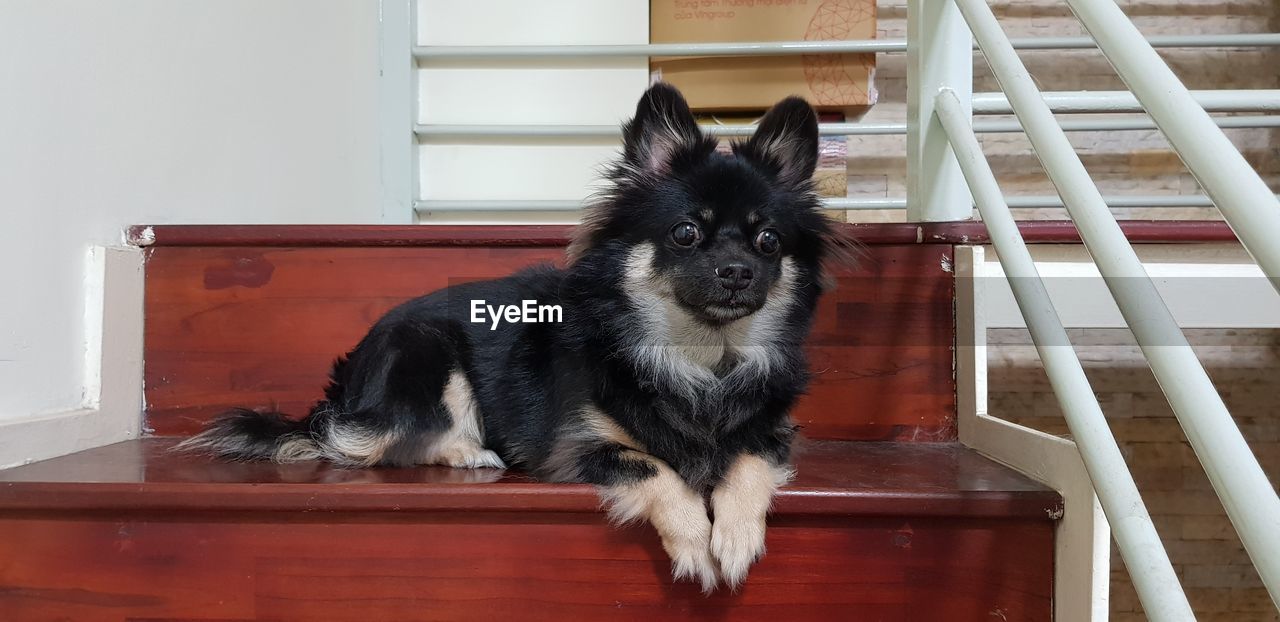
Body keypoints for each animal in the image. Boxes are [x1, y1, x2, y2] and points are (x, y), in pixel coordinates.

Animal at [183, 83, 839, 593]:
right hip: (425, 352)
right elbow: (656, 468)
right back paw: (468, 450)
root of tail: (348, 378)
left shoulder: (773, 433)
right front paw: (697, 542)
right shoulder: (577, 447)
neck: (698, 359)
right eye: (685, 233)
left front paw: (734, 535)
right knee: (359, 441)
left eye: (769, 242)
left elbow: (747, 460)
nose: (738, 271)